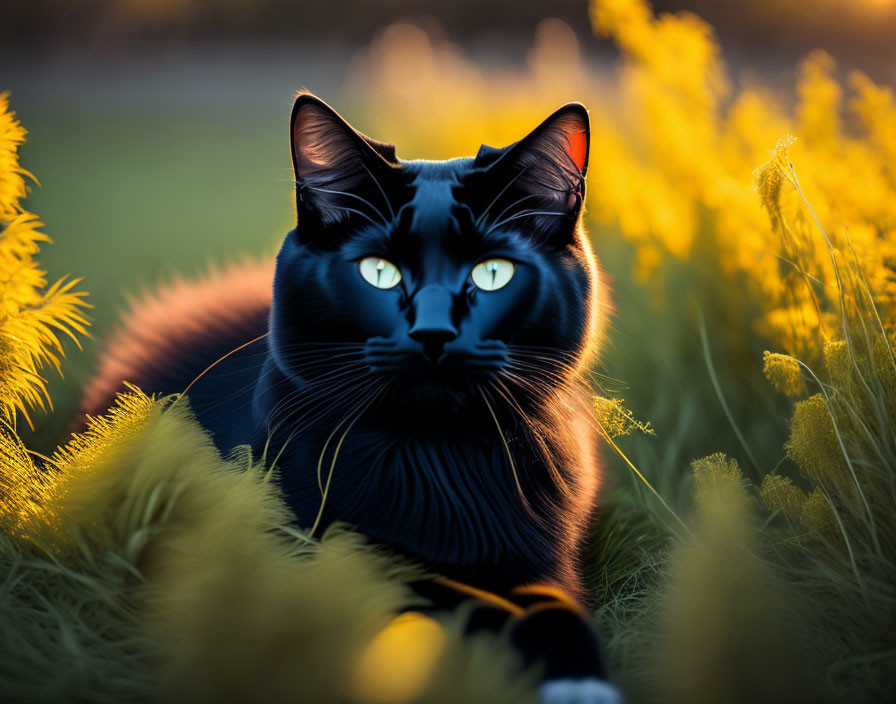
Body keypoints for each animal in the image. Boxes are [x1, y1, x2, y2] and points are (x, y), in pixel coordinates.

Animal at [86, 93, 624, 704]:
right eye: (379, 272)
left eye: (493, 274)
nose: (433, 332)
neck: (442, 459)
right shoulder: (319, 555)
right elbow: (452, 594)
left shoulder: (549, 566)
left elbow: (552, 605)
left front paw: (580, 677)